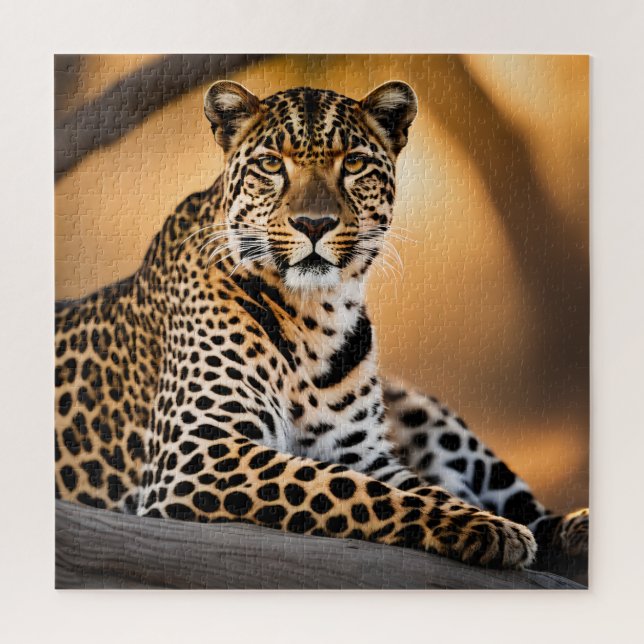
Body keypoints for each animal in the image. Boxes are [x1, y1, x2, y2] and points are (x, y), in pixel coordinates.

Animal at [55, 80, 588, 572]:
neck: (318, 315)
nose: (314, 224)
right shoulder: (197, 454)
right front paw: (482, 527)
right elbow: (346, 488)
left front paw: (487, 520)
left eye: (352, 164)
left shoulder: (364, 452)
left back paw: (576, 529)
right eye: (272, 165)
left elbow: (413, 487)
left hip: (425, 407)